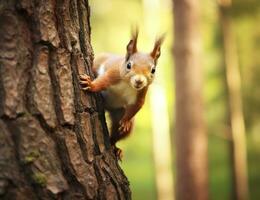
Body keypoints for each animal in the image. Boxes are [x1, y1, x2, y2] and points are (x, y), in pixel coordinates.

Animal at [79, 30, 165, 159]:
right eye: (129, 65)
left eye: (153, 70)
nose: (139, 81)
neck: (128, 84)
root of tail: (108, 108)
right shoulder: (113, 74)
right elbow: (103, 82)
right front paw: (91, 85)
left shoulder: (142, 91)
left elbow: (137, 105)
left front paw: (125, 121)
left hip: (118, 112)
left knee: (117, 134)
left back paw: (115, 147)